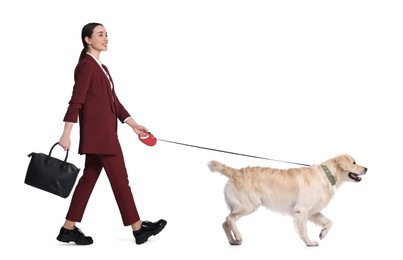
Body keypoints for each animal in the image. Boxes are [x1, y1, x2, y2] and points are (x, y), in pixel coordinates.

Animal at [210, 153, 368, 247]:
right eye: (354, 162)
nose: (366, 168)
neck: (327, 174)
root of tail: (235, 171)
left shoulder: (312, 212)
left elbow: (329, 222)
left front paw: (322, 233)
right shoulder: (302, 210)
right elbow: (304, 229)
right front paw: (309, 242)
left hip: (240, 206)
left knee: (225, 222)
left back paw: (232, 240)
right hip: (248, 205)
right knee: (229, 219)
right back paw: (238, 237)